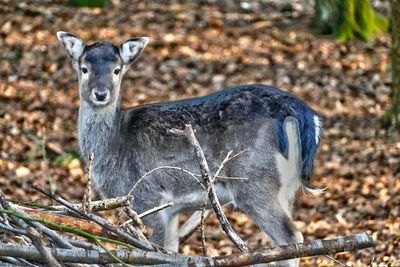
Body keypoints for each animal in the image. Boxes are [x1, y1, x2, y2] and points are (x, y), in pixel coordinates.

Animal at [57, 30, 324, 266]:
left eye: (117, 69)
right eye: (84, 68)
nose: (100, 94)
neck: (114, 149)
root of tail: (304, 115)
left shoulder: (147, 198)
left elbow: (154, 251)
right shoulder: (170, 210)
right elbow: (171, 251)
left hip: (255, 180)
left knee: (290, 236)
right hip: (287, 189)